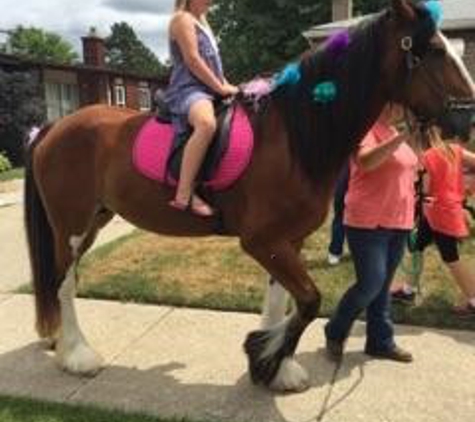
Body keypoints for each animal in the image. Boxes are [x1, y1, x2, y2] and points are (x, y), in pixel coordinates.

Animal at [25, 0, 472, 392]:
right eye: (435, 50)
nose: (466, 120)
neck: (293, 136)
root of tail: (56, 126)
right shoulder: (261, 241)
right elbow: (309, 301)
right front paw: (265, 357)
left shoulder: (287, 241)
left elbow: (282, 300)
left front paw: (278, 369)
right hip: (71, 226)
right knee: (63, 283)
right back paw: (78, 356)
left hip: (93, 222)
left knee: (65, 281)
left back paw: (61, 344)